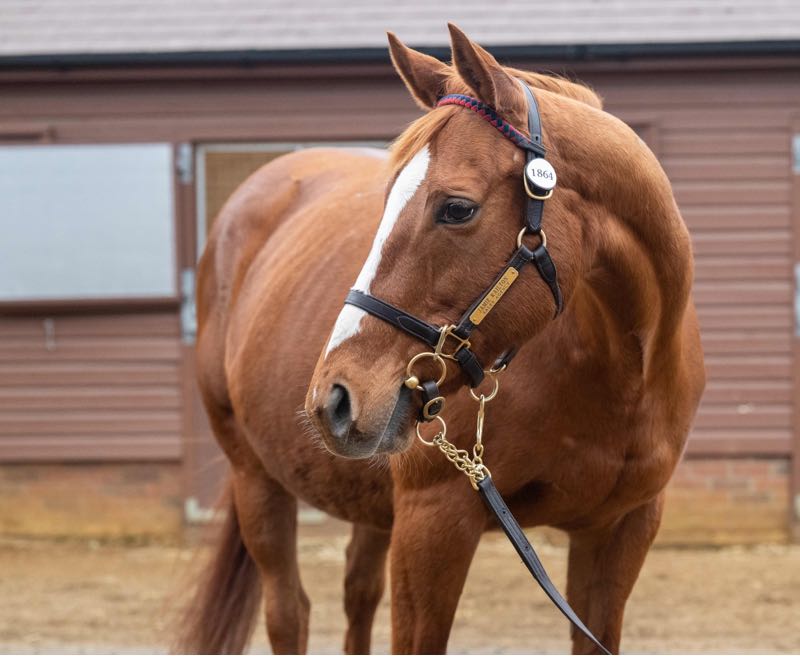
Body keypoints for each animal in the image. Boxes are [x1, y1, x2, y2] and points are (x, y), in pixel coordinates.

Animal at [178, 24, 705, 655]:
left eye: (456, 208)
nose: (334, 398)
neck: (619, 374)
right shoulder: (433, 524)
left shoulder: (621, 531)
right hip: (256, 479)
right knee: (289, 613)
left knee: (357, 594)